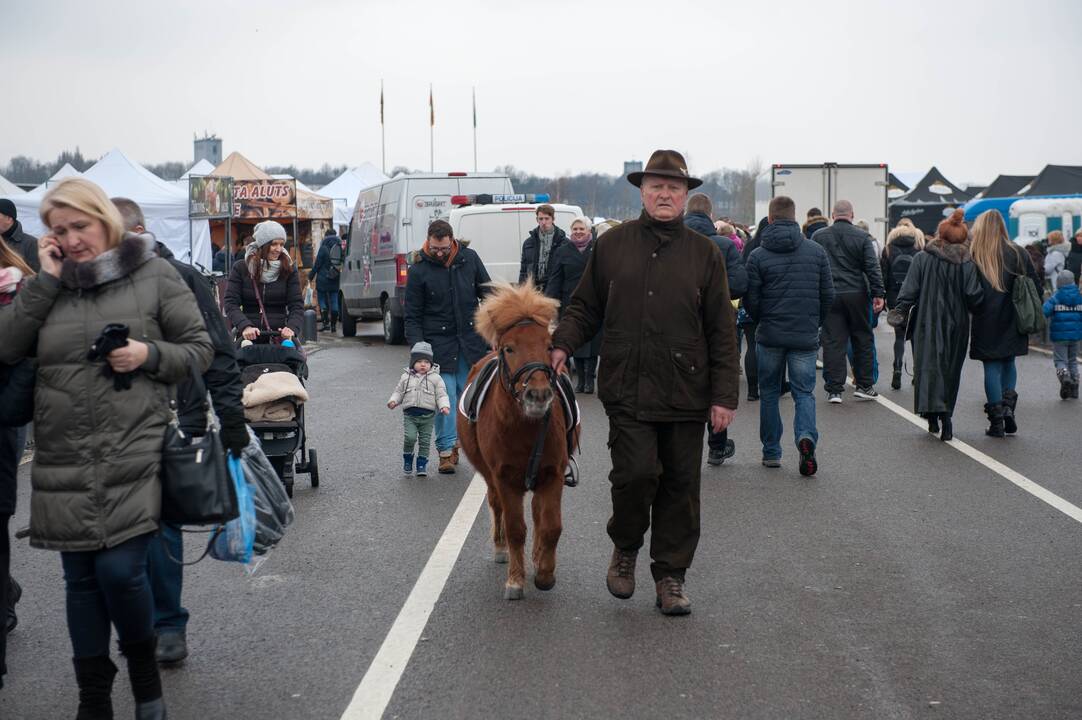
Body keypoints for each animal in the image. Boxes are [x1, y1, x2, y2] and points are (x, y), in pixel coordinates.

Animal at [456, 281, 579, 601]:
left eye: (549, 346)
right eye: (509, 348)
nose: (538, 395)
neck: (526, 428)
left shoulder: (552, 475)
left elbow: (550, 526)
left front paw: (545, 573)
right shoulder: (505, 478)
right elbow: (515, 529)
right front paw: (515, 580)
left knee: (537, 515)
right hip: (490, 477)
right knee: (496, 505)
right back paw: (501, 549)